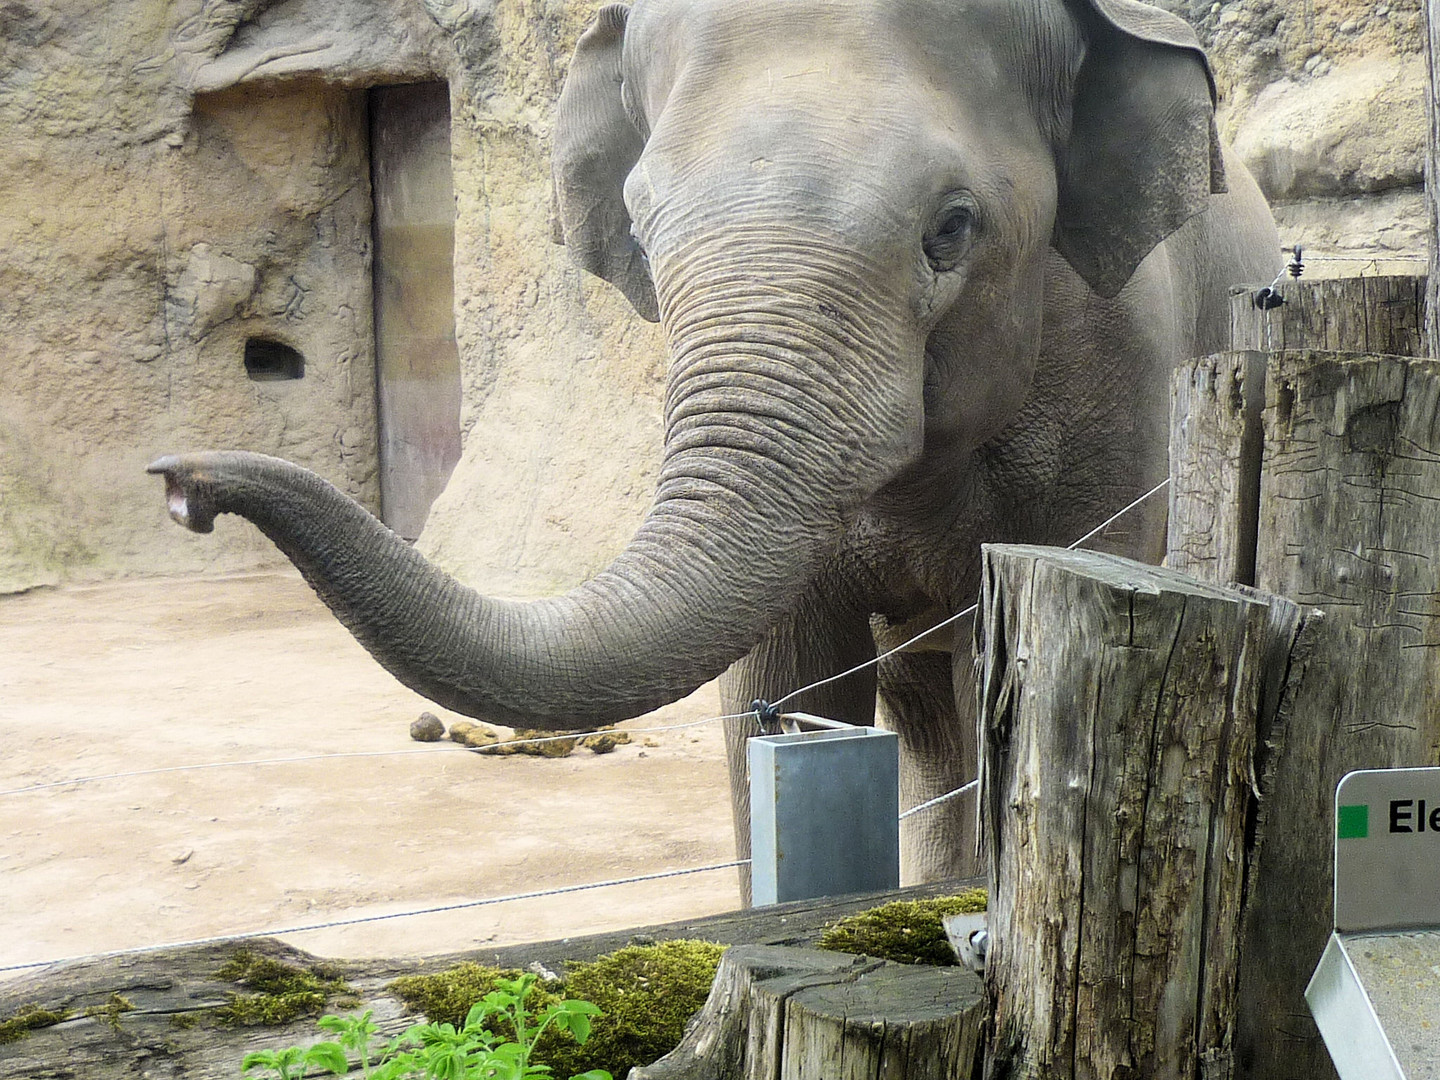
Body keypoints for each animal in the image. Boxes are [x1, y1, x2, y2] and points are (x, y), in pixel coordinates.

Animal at [149, 0, 1284, 898]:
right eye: (642, 230)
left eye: (953, 226)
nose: (180, 485)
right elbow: (779, 687)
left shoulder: (1116, 372)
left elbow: (1002, 649)